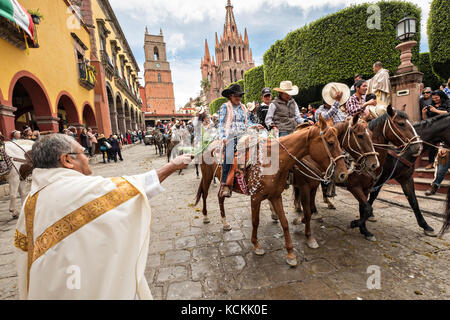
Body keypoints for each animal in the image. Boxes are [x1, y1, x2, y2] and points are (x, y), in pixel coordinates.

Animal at [194, 116, 348, 266]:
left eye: (339, 142)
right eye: (330, 143)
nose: (343, 174)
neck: (273, 161)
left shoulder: (276, 196)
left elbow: (285, 222)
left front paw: (290, 253)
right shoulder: (256, 197)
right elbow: (255, 221)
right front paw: (256, 245)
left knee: (220, 197)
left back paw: (225, 223)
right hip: (207, 176)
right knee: (205, 194)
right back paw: (206, 217)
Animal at [292, 114, 380, 249]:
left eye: (371, 135)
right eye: (360, 135)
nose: (374, 164)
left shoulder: (365, 189)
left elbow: (365, 208)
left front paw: (365, 231)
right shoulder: (353, 187)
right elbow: (307, 212)